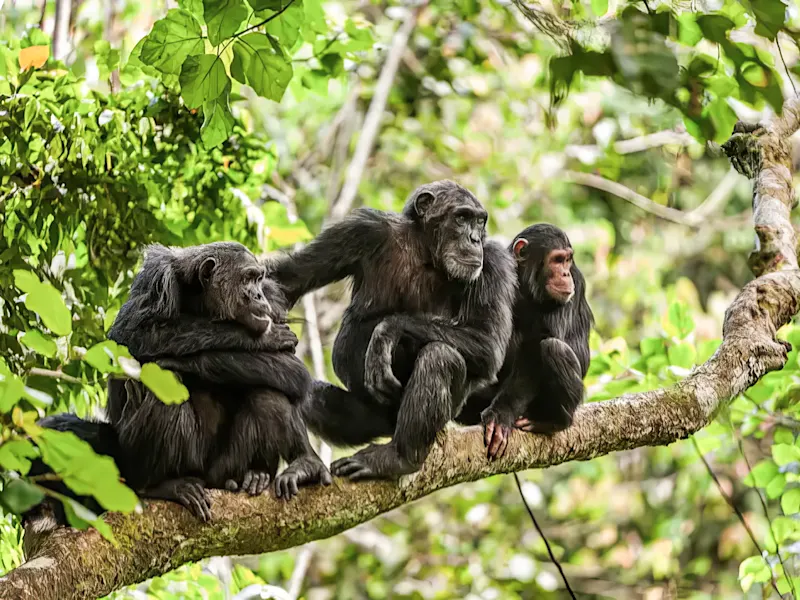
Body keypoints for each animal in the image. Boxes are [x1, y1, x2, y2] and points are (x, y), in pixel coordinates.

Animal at [272, 179, 516, 482]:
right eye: (461, 218)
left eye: (480, 221)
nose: (474, 238)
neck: (426, 252)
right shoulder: (362, 230)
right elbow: (288, 280)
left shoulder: (494, 263)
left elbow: (488, 341)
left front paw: (386, 332)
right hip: (368, 419)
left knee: (440, 357)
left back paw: (397, 458)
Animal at [456, 224, 592, 460]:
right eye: (557, 260)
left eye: (567, 261)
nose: (565, 273)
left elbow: (536, 347)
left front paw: (500, 415)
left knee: (553, 348)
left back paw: (552, 421)